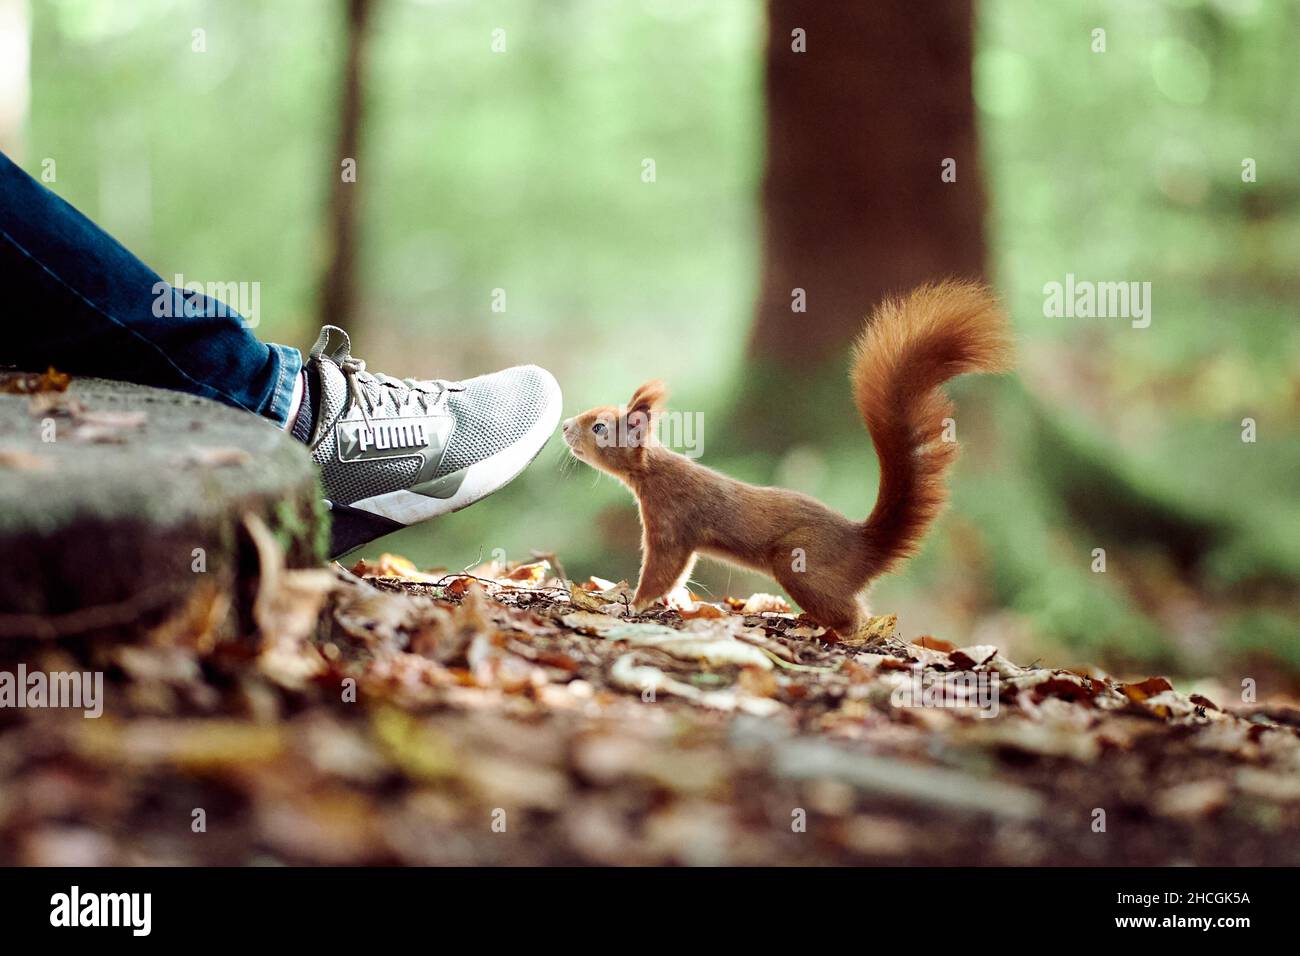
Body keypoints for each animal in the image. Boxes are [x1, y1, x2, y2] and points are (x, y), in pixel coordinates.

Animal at [561, 280, 1014, 634]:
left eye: (599, 427)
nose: (565, 426)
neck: (652, 472)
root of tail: (864, 547)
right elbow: (679, 574)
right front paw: (670, 602)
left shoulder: (671, 521)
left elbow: (662, 568)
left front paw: (635, 603)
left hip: (800, 564)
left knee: (854, 616)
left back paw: (828, 630)